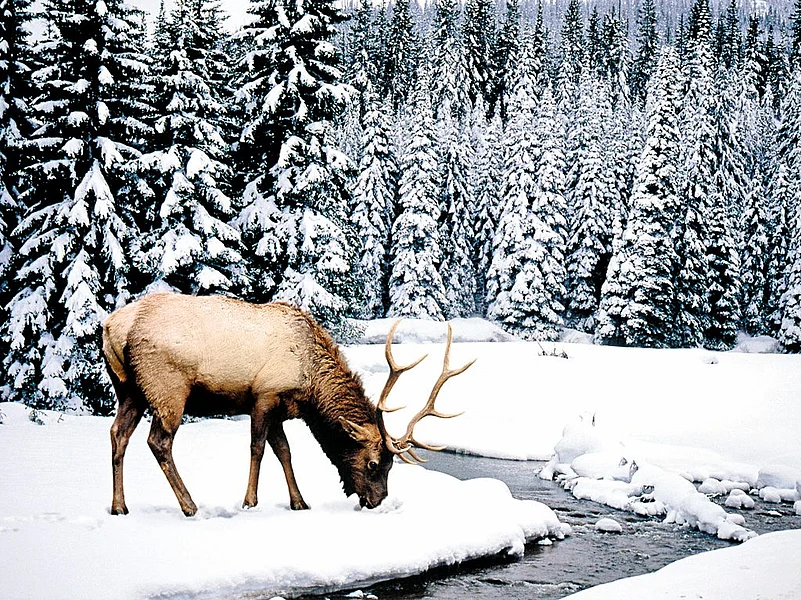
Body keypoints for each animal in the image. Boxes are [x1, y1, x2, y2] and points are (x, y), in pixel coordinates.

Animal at [102, 293, 474, 516]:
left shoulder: (281, 409)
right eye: (373, 463)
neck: (310, 385)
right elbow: (257, 448)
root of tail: (111, 328)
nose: (377, 500)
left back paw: (119, 506)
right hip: (168, 387)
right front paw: (249, 501)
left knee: (118, 434)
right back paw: (190, 505)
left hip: (129, 390)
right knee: (158, 441)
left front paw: (299, 502)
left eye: (391, 465)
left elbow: (284, 451)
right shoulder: (264, 394)